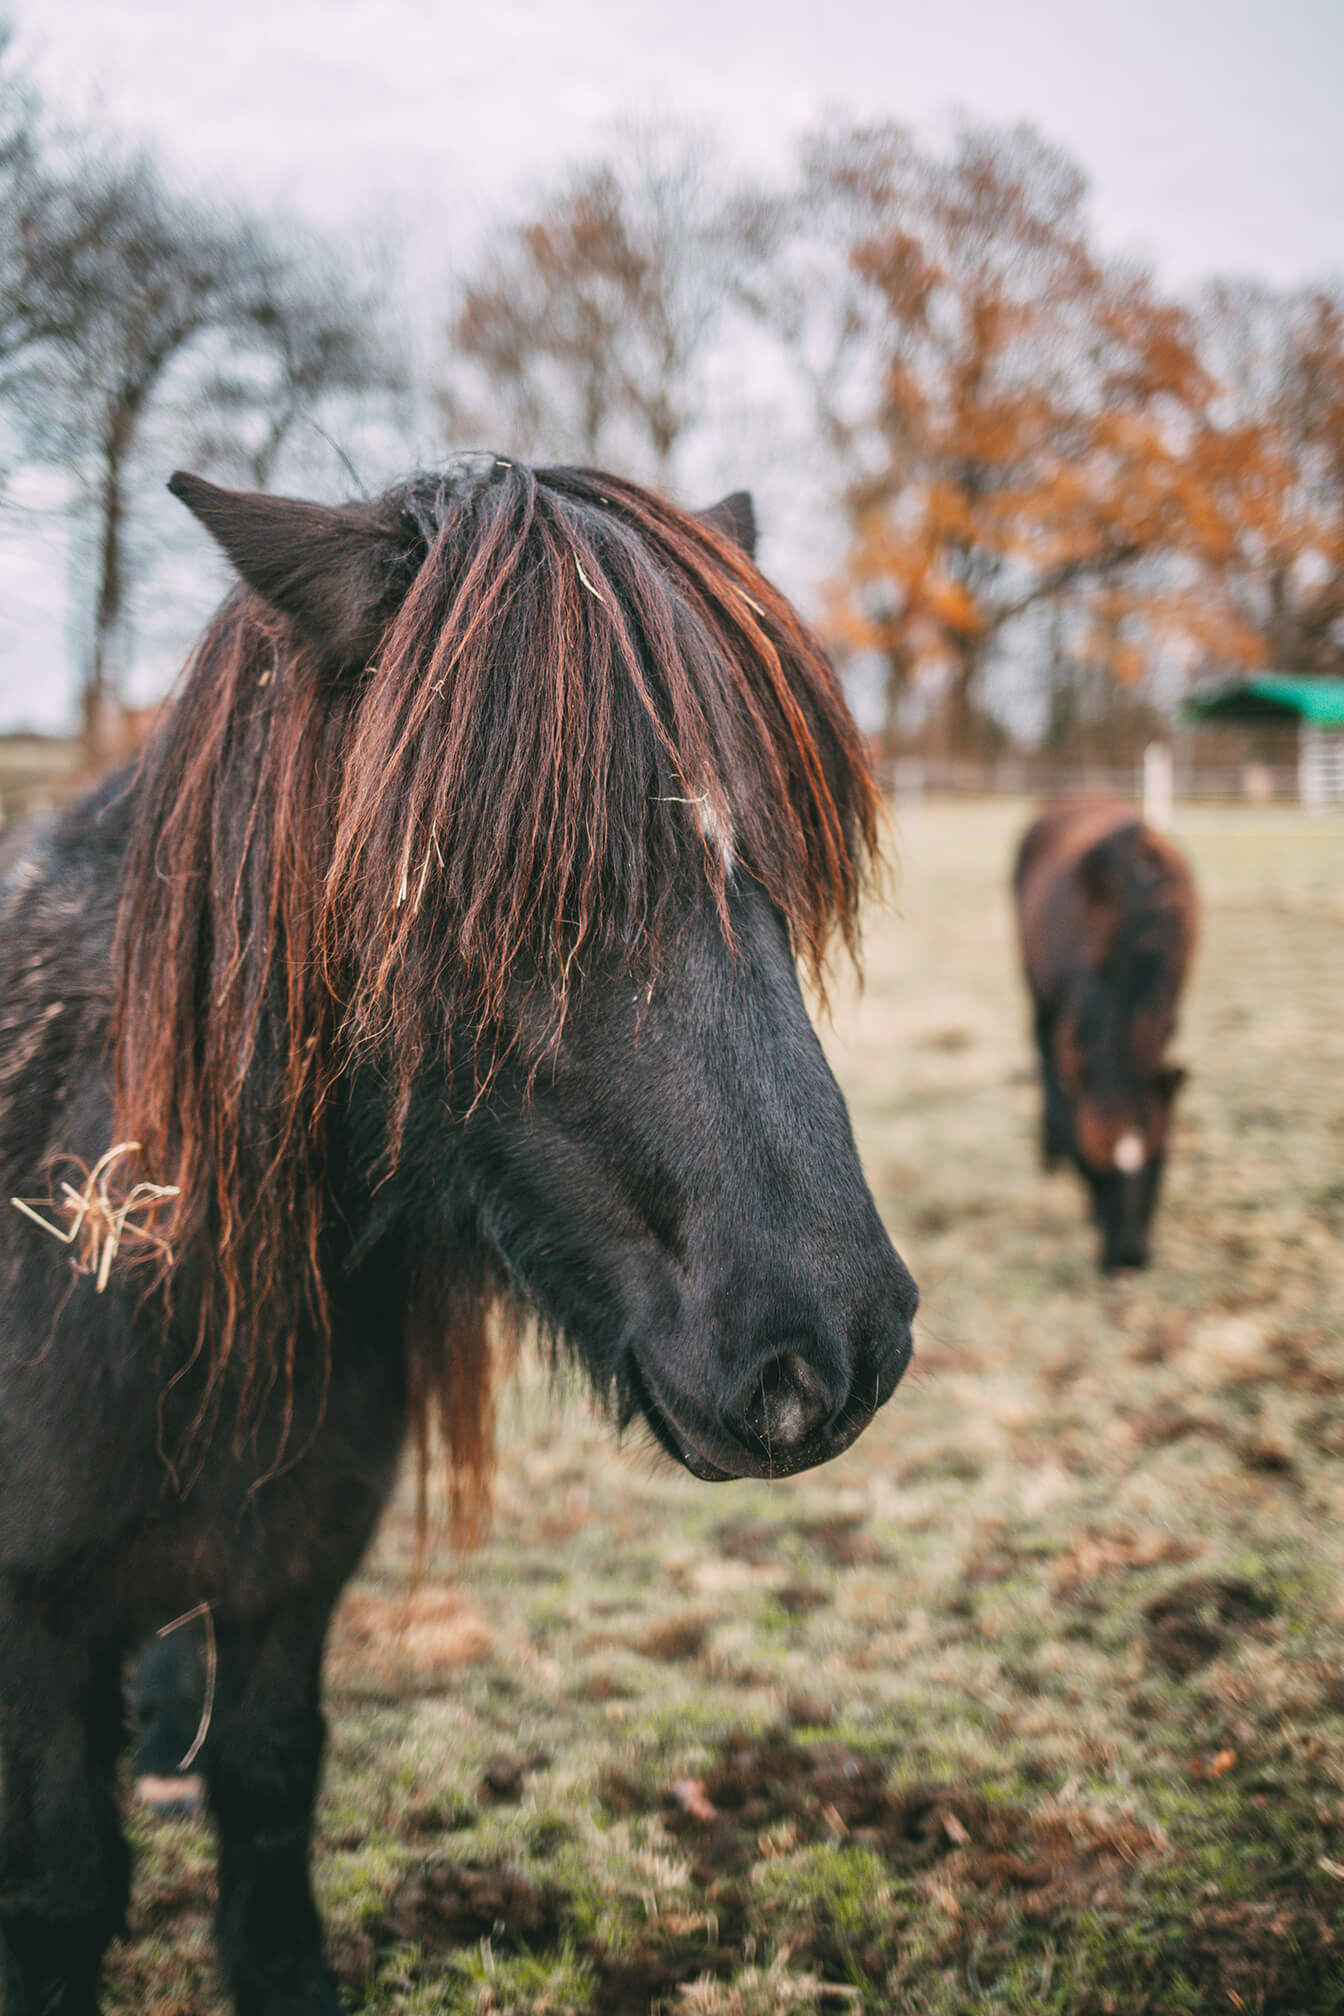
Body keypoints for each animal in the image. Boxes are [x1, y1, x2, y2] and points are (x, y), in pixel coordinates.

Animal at [0, 461, 914, 2016]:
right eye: (490, 891)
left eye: (772, 870)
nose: (830, 1354)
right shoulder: (38, 1627)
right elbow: (62, 1887)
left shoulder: (291, 1577)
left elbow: (267, 1788)